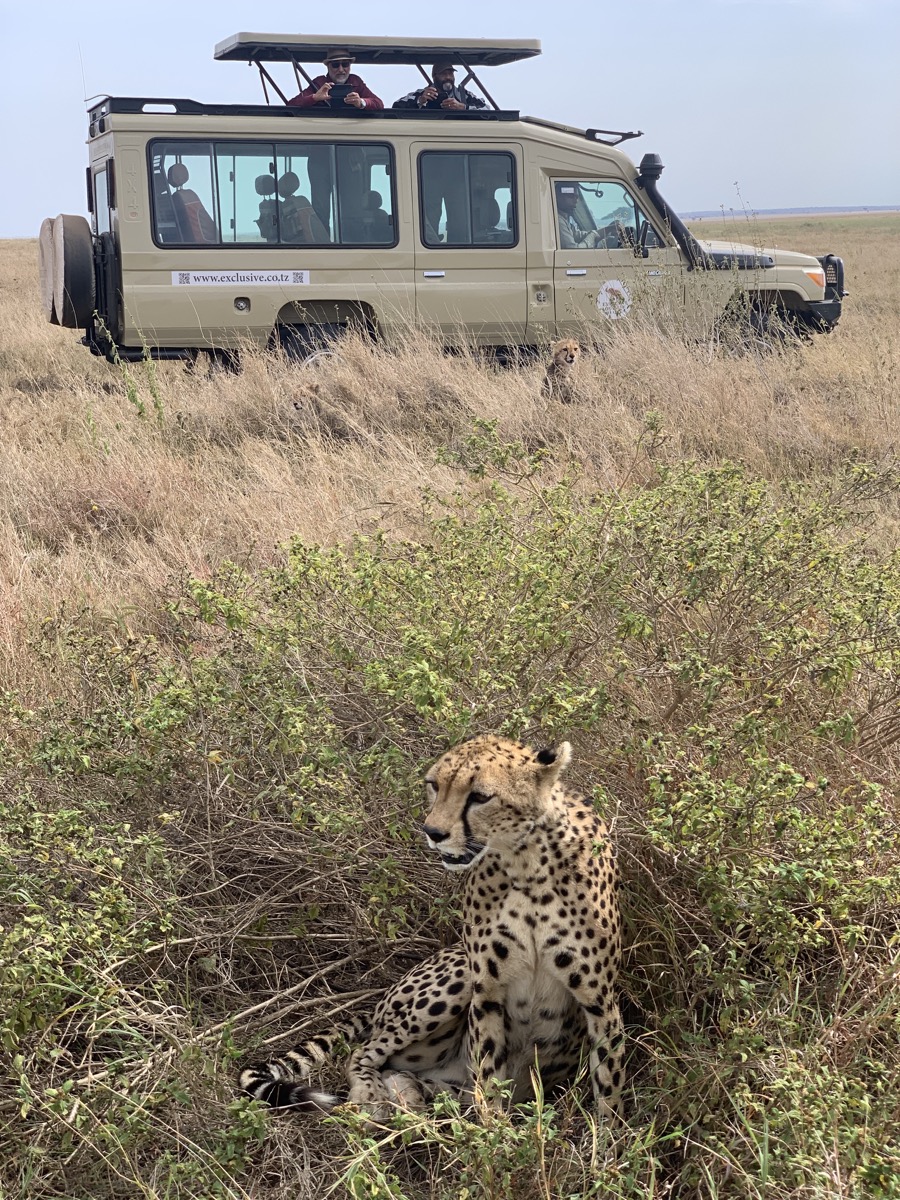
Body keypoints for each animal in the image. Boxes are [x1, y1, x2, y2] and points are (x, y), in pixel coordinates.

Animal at [239, 735, 624, 1120]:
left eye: (480, 796)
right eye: (434, 785)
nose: (433, 833)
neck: (526, 863)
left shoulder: (600, 1001)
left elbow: (609, 1083)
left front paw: (607, 1133)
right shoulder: (487, 991)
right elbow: (488, 1075)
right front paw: (493, 1128)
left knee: (406, 1074)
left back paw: (408, 1097)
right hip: (459, 974)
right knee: (364, 1052)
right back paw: (372, 1098)